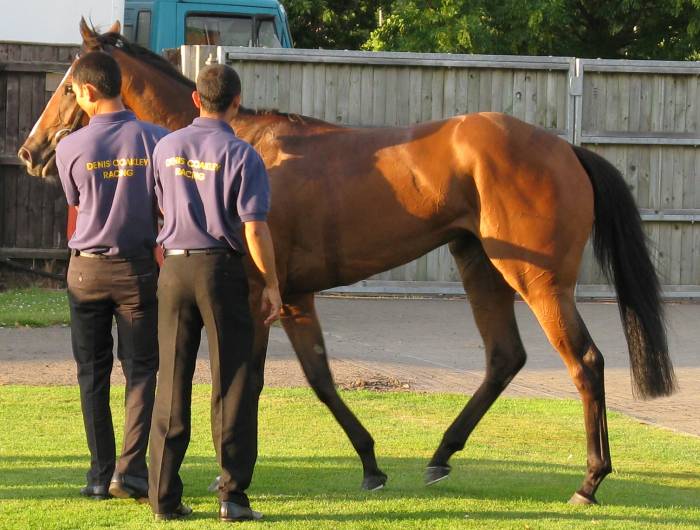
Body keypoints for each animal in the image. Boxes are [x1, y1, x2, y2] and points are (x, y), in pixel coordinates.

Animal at [18, 20, 676, 505]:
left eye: (69, 86)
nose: (31, 150)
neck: (235, 139)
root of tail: (563, 147)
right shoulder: (293, 297)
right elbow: (317, 379)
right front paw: (369, 463)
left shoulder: (256, 298)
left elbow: (248, 376)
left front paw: (235, 474)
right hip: (480, 265)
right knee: (504, 358)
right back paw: (440, 456)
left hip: (538, 281)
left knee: (585, 363)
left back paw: (589, 481)